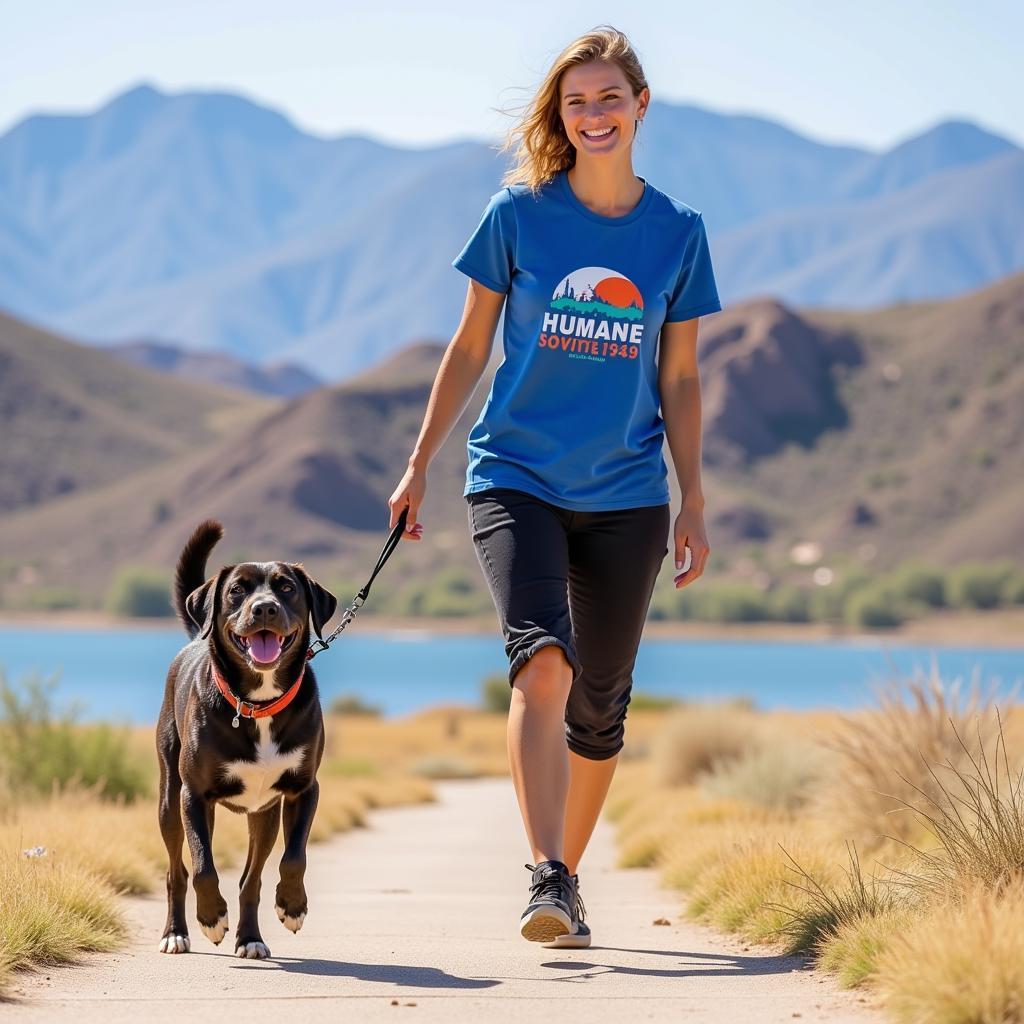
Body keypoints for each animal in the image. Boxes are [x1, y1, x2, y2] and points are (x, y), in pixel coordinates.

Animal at [156, 520, 335, 958]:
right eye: (237, 589)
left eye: (286, 587)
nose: (264, 608)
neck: (258, 705)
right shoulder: (194, 795)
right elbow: (203, 866)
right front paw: (211, 919)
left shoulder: (304, 789)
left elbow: (294, 858)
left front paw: (292, 906)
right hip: (169, 798)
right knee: (176, 871)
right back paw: (176, 932)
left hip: (263, 814)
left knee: (250, 880)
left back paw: (250, 938)